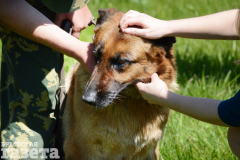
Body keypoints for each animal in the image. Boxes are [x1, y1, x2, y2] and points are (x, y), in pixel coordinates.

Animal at [62, 9, 177, 160]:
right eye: (96, 56)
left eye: (121, 61)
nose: (87, 99)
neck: (130, 100)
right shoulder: (80, 151)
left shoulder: (150, 151)